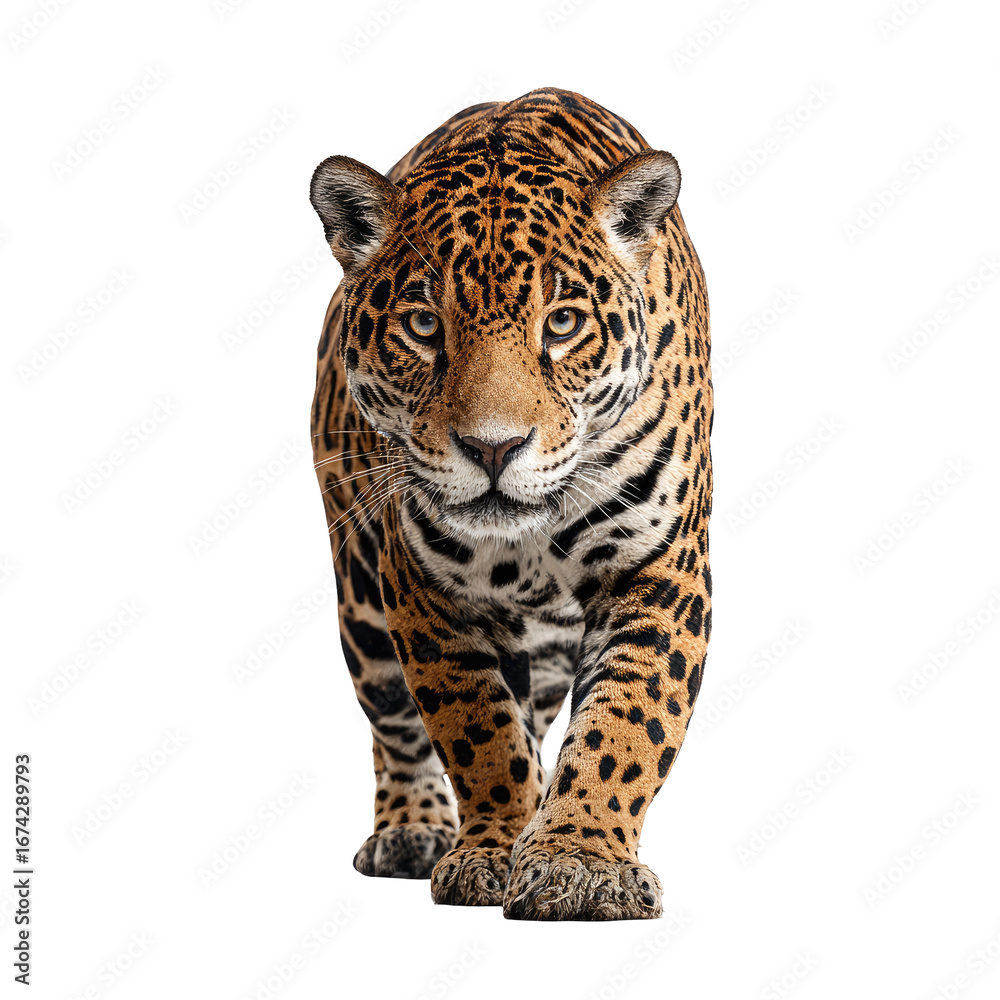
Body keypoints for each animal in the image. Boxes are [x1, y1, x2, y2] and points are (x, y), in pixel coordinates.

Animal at [308, 87, 711, 920]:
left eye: (561, 324)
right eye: (423, 326)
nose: (493, 449)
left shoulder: (661, 572)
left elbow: (627, 721)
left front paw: (578, 861)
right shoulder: (426, 591)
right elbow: (479, 732)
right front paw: (495, 848)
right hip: (360, 599)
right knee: (395, 722)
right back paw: (413, 829)